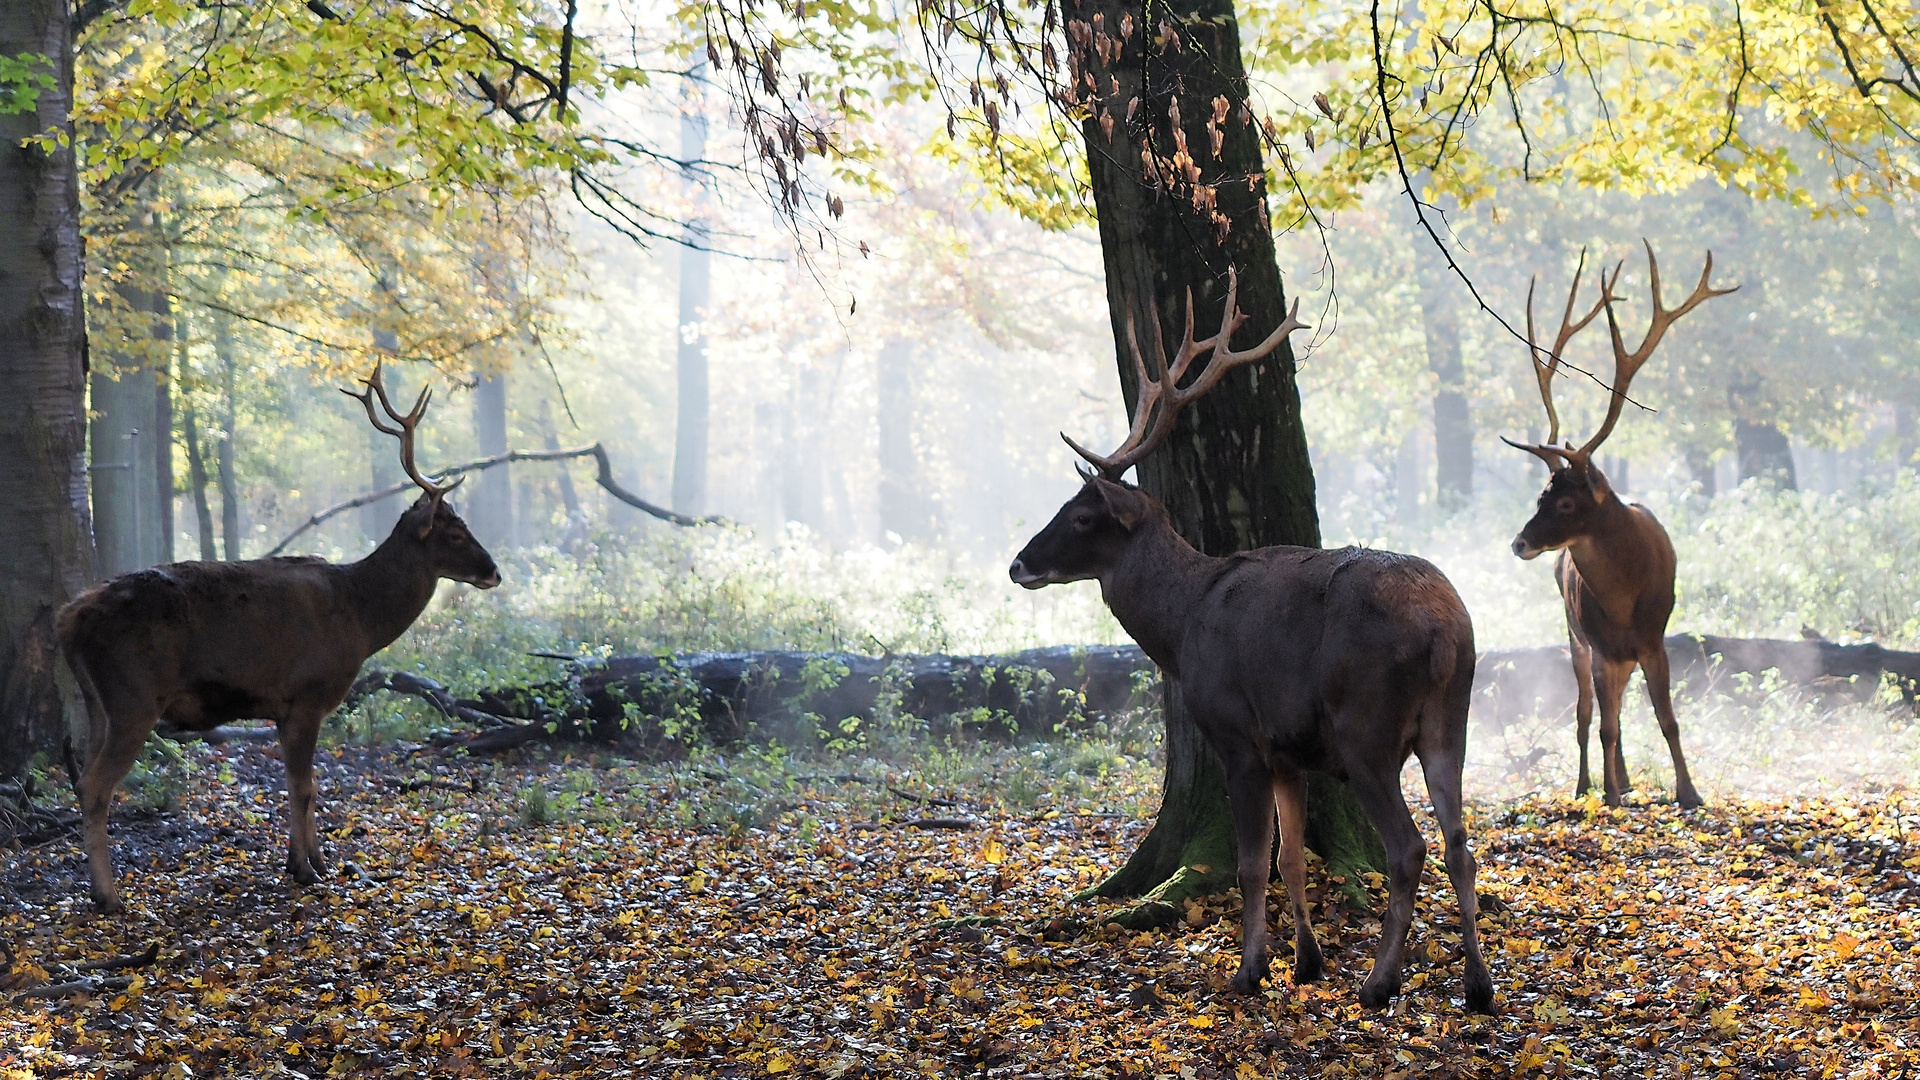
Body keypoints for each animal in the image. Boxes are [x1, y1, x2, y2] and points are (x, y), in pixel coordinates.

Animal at [63, 363, 503, 907]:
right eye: (456, 532)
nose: (494, 572)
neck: (360, 618)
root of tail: (70, 618)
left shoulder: (281, 708)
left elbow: (300, 786)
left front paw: (311, 862)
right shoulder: (308, 693)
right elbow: (305, 786)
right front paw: (308, 868)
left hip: (97, 704)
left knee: (82, 778)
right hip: (134, 697)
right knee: (95, 786)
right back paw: (109, 896)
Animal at [1013, 269, 1489, 1006]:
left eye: (1083, 515)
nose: (1018, 563)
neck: (1181, 627)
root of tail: (1444, 632)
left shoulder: (1238, 733)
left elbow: (1248, 863)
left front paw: (1249, 969)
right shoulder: (1290, 751)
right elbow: (1291, 857)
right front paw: (1307, 962)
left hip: (1366, 727)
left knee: (1410, 847)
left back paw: (1379, 982)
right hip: (1451, 720)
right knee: (1461, 842)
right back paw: (1478, 985)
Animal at [1497, 237, 1743, 807]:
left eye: (1565, 503)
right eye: (1540, 494)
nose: (1519, 542)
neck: (1626, 596)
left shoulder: (1654, 637)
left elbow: (1669, 718)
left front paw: (1689, 792)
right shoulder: (1601, 643)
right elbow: (1604, 722)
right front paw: (1607, 793)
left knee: (1621, 708)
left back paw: (1625, 778)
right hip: (1575, 636)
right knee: (1588, 715)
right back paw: (1591, 783)